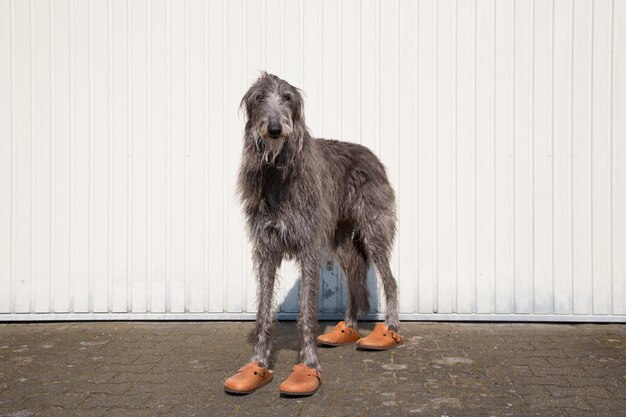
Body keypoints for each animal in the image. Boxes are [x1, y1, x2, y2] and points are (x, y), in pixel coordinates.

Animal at [236, 72, 398, 370]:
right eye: (260, 97)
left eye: (287, 97)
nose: (275, 129)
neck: (279, 173)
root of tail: (372, 156)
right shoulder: (266, 248)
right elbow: (264, 310)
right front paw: (259, 360)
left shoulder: (308, 246)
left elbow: (306, 308)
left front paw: (309, 360)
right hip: (341, 240)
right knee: (355, 276)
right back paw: (348, 327)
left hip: (374, 230)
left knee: (389, 280)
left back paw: (391, 328)